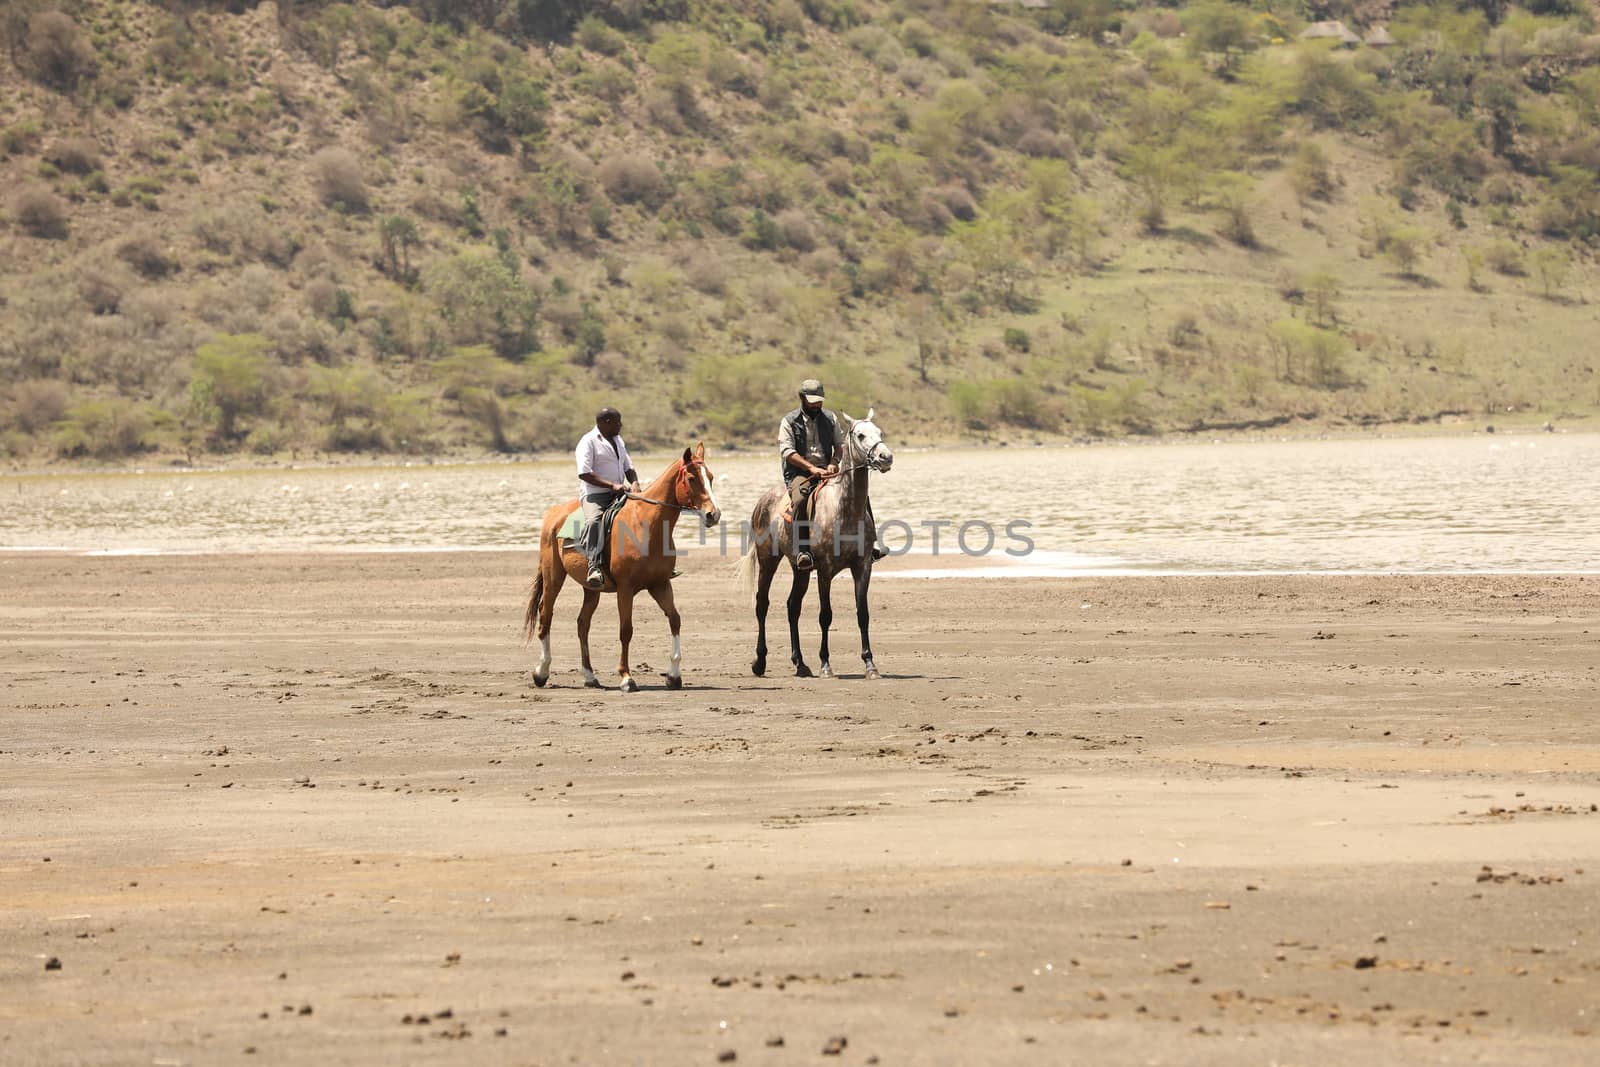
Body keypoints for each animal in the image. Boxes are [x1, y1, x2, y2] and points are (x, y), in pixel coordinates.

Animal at [521, 444, 723, 687]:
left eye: (710, 477)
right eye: (692, 478)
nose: (713, 514)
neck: (646, 525)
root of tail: (554, 515)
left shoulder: (660, 584)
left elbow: (675, 620)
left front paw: (674, 675)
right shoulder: (625, 589)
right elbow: (626, 630)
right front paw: (626, 677)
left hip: (591, 589)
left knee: (582, 624)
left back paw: (589, 675)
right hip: (553, 578)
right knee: (546, 615)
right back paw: (541, 672)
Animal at [739, 412, 896, 681]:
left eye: (879, 432)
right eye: (860, 435)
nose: (885, 457)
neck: (845, 509)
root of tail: (763, 501)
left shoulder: (862, 567)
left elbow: (862, 614)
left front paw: (870, 665)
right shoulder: (825, 571)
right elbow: (825, 615)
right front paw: (826, 664)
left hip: (799, 569)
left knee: (793, 607)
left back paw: (800, 664)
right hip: (768, 560)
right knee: (762, 604)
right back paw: (759, 662)